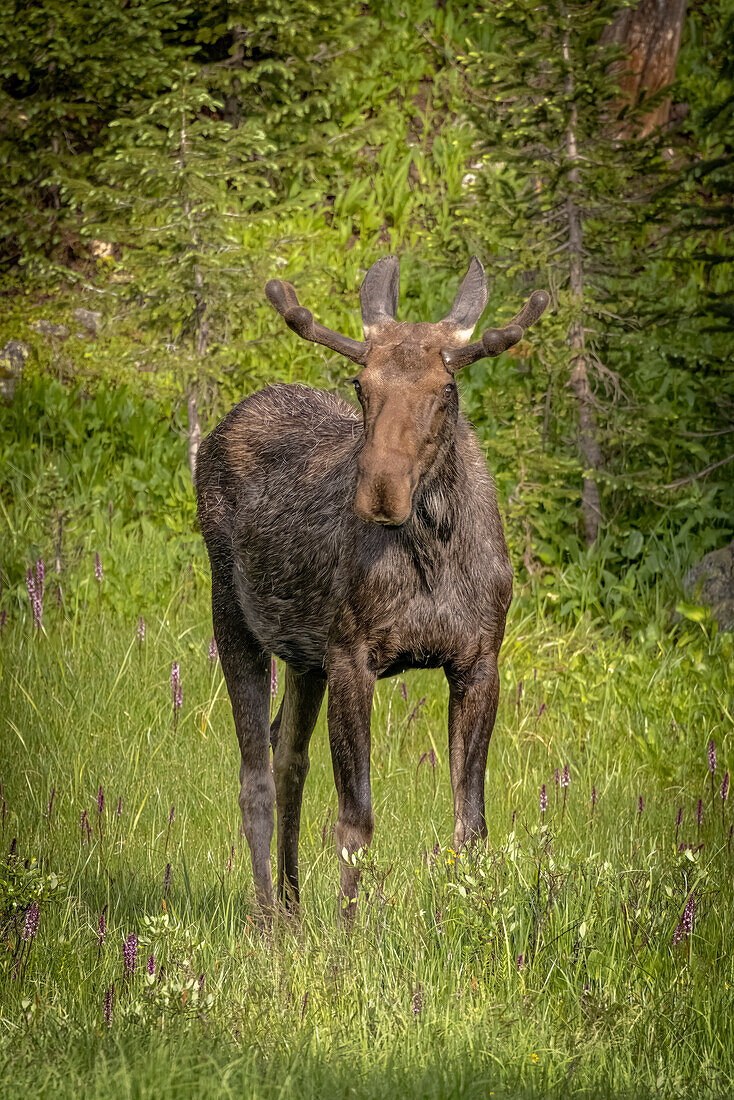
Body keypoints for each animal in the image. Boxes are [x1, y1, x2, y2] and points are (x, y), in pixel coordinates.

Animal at [198, 259, 548, 919]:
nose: (381, 490)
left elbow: (471, 820)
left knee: (289, 756)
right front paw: (349, 928)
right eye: (362, 386)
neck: (435, 553)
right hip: (232, 612)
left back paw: (292, 909)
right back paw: (266, 918)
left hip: (304, 655)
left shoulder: (478, 660)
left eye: (445, 392)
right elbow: (355, 819)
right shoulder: (351, 656)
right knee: (254, 773)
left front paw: (470, 916)